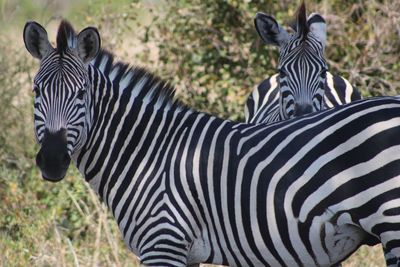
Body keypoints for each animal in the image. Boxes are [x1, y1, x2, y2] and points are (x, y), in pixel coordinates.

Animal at [23, 19, 400, 267]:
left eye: (81, 94)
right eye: (36, 91)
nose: (52, 161)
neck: (145, 155)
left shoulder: (163, 243)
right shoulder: (182, 252)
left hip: (392, 222)